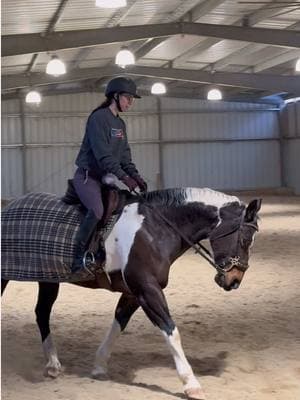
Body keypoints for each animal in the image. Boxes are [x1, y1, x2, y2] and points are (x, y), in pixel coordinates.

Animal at [1, 188, 262, 400]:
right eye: (245, 239)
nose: (234, 281)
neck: (155, 230)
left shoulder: (134, 293)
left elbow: (119, 322)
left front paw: (99, 366)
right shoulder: (147, 290)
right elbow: (171, 331)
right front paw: (192, 385)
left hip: (48, 278)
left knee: (42, 313)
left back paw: (53, 365)